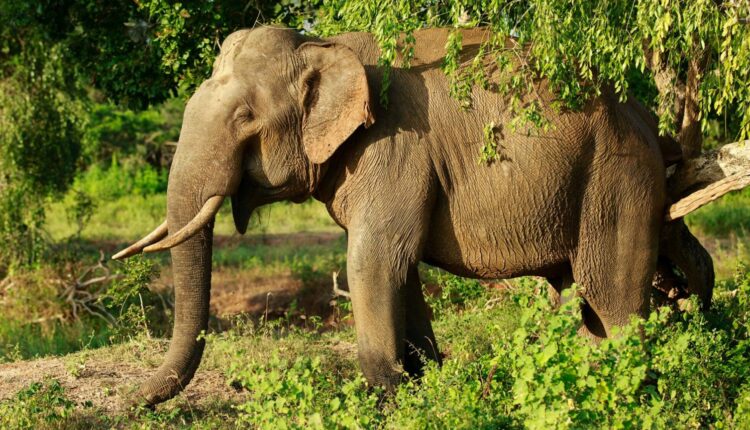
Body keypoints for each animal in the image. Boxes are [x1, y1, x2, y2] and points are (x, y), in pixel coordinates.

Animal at [113, 26, 714, 405]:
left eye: (244, 118)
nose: (132, 402)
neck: (327, 43)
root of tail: (646, 118)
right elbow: (399, 270)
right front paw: (425, 380)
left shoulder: (396, 147)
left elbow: (373, 260)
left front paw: (390, 393)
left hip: (616, 181)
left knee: (611, 300)